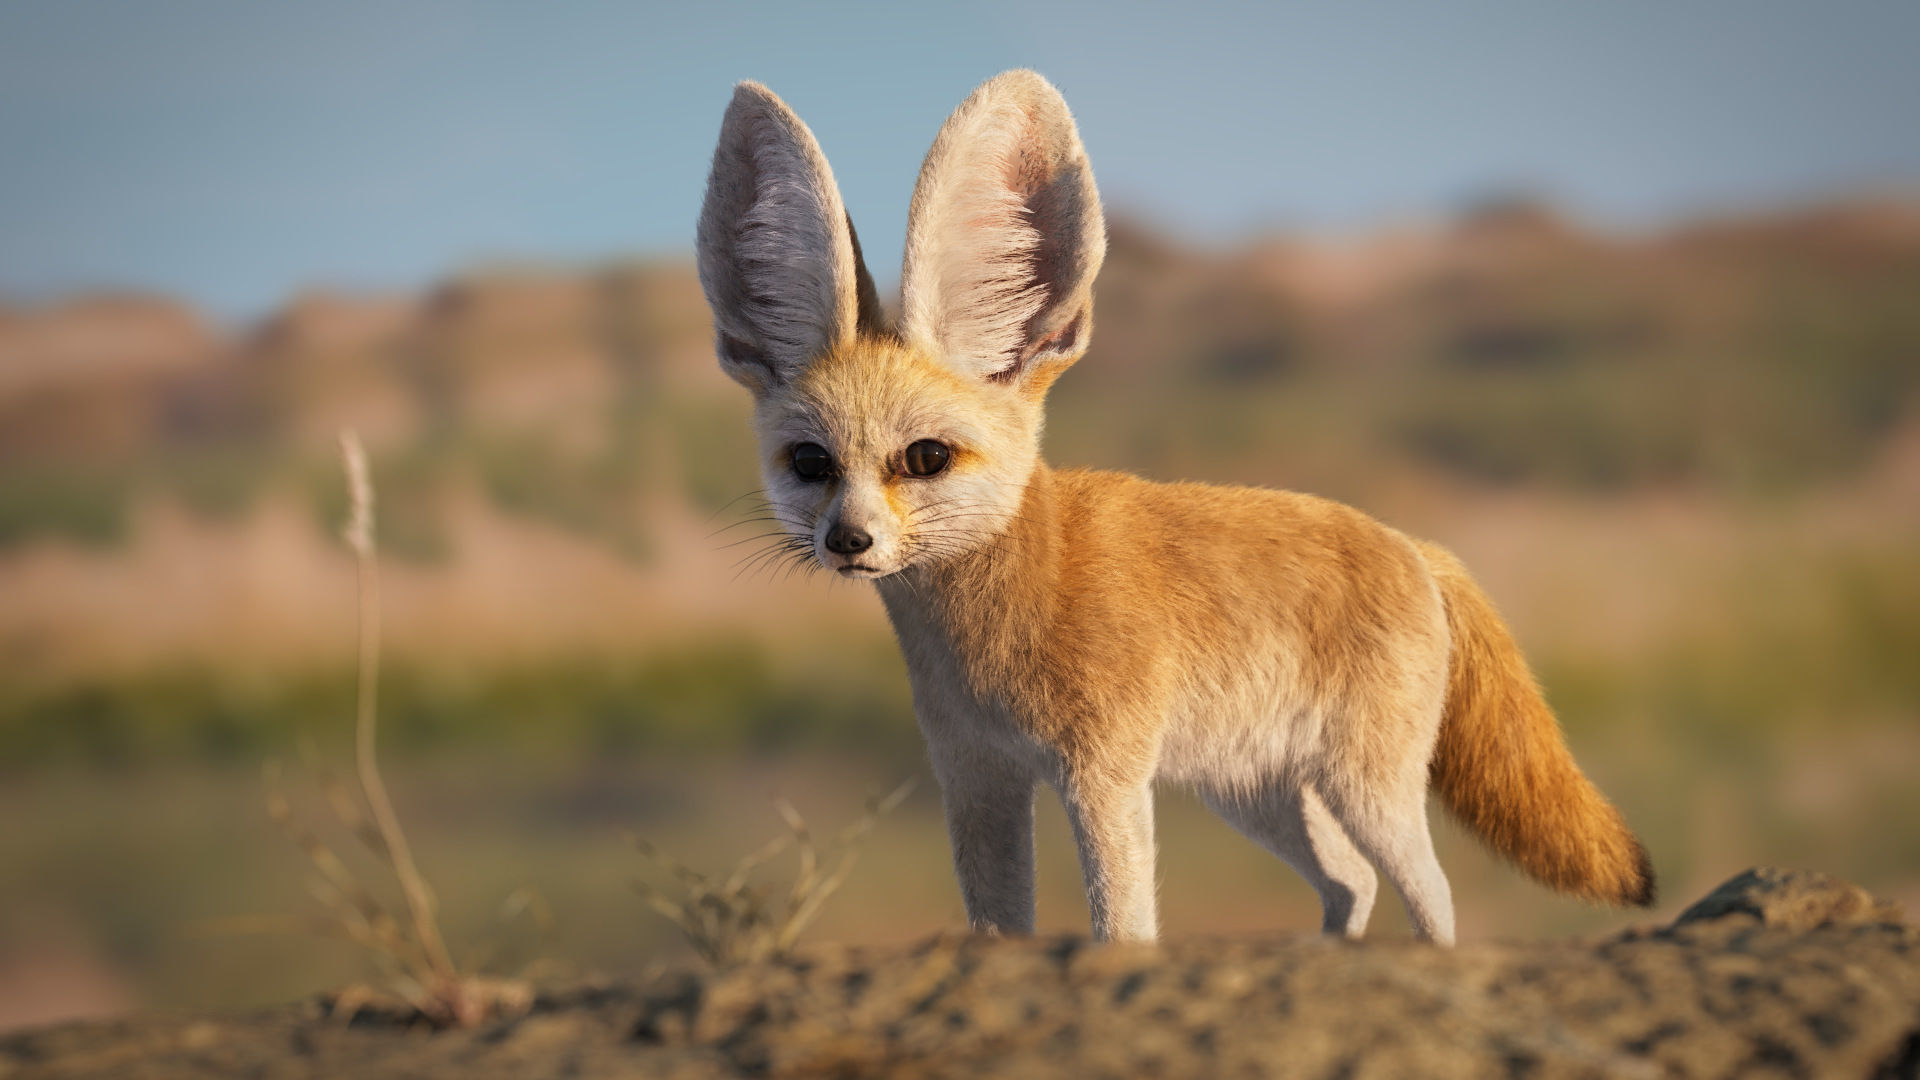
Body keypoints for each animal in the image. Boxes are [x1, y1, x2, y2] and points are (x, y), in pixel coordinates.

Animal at [693, 70, 1655, 945]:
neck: (991, 629)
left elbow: (1123, 929)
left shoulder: (1104, 776)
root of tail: (1415, 545)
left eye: (924, 458)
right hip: (1255, 796)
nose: (847, 540)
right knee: (1351, 882)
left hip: (1362, 790)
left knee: (1433, 893)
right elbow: (997, 929)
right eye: (811, 464)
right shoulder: (975, 778)